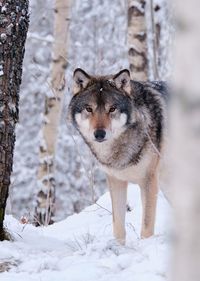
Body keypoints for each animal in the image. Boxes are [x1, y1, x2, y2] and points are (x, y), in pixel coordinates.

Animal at [68, 67, 168, 243]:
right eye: (89, 109)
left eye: (112, 109)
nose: (99, 134)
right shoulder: (116, 181)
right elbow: (118, 226)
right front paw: (119, 246)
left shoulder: (149, 182)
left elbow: (147, 227)